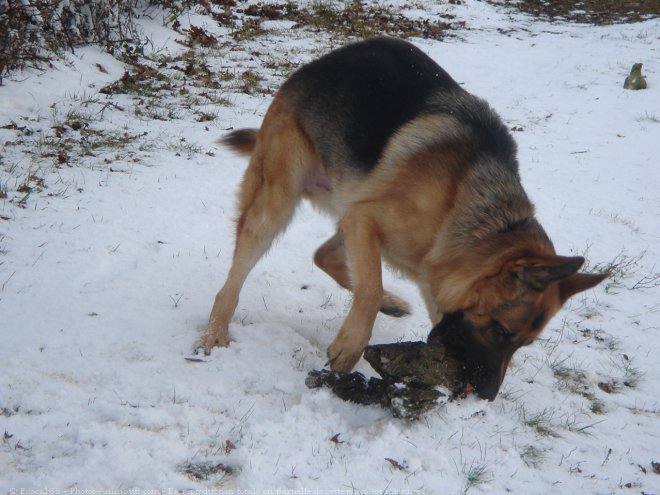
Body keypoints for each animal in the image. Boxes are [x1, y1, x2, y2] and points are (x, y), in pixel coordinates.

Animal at [202, 37, 608, 404]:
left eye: (523, 344)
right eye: (499, 332)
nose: (488, 395)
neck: (469, 219)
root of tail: (318, 63)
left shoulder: (398, 251)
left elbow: (371, 283)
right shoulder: (365, 220)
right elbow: (367, 290)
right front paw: (350, 346)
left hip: (345, 206)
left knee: (324, 254)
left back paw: (391, 301)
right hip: (276, 205)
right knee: (232, 282)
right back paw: (215, 333)